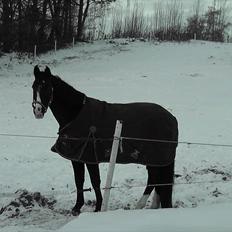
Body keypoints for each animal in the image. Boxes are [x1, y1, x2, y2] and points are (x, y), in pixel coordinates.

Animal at [31, 64, 179, 215]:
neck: (75, 114)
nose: (38, 111)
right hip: (155, 160)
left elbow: (95, 181)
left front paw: (97, 208)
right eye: (33, 87)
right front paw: (77, 207)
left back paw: (140, 205)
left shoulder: (89, 157)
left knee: (153, 180)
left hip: (155, 158)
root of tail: (172, 118)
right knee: (157, 180)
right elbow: (79, 180)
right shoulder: (78, 157)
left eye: (47, 87)